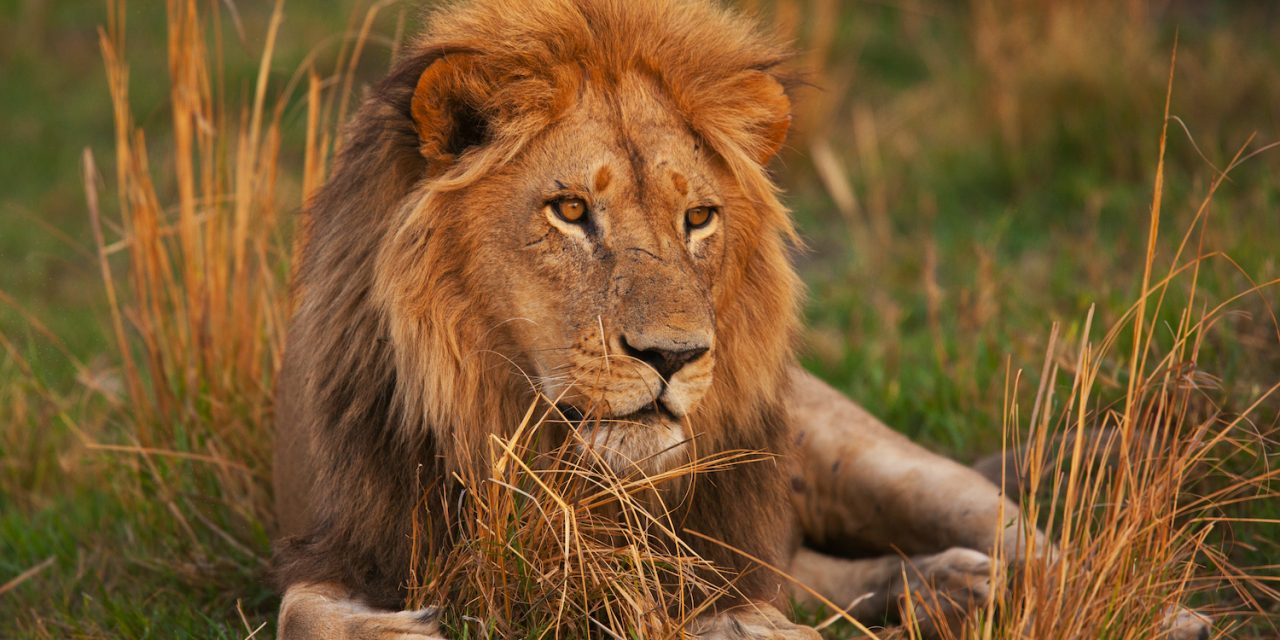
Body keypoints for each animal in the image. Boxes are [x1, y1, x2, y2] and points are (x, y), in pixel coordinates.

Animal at [270, 1, 1211, 638]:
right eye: (570, 211)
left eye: (698, 219)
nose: (675, 356)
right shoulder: (343, 538)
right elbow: (299, 612)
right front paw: (403, 627)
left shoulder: (713, 565)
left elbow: (740, 615)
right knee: (820, 574)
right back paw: (950, 591)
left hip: (879, 462)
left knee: (1035, 544)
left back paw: (1138, 611)